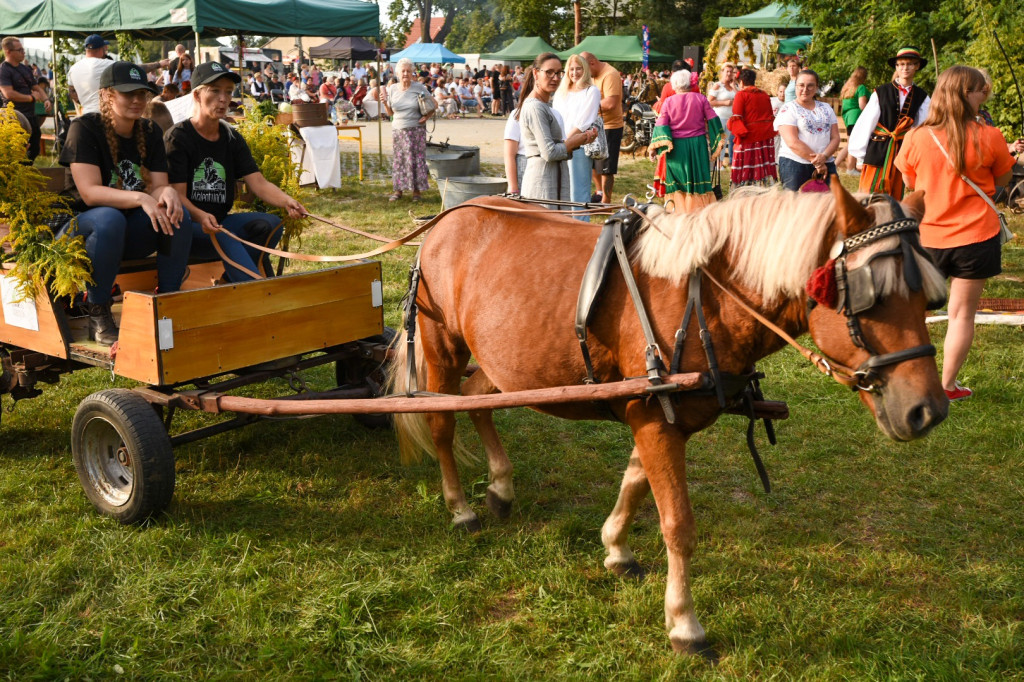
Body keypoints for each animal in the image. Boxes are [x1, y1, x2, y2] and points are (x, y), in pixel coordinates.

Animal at [387, 180, 946, 655]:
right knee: (442, 421)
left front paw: (616, 549)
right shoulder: (655, 417)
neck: (704, 297)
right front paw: (684, 624)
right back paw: (460, 508)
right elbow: (677, 523)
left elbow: (635, 481)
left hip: (508, 369)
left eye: (929, 298)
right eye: (870, 297)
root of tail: (448, 220)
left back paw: (501, 487)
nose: (929, 411)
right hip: (442, 347)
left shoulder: (657, 416)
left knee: (478, 398)